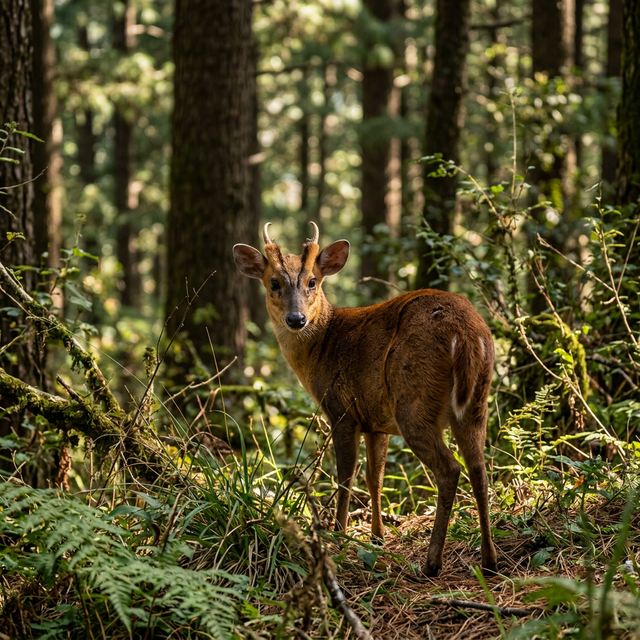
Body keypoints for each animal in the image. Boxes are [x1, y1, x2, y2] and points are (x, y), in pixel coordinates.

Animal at [232, 222, 497, 577]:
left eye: (312, 281)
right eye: (274, 282)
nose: (296, 319)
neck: (323, 345)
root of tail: (466, 332)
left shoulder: (342, 410)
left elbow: (346, 477)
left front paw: (338, 535)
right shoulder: (375, 420)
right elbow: (375, 477)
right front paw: (376, 536)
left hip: (413, 401)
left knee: (450, 469)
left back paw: (431, 562)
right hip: (475, 404)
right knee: (479, 470)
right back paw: (489, 560)